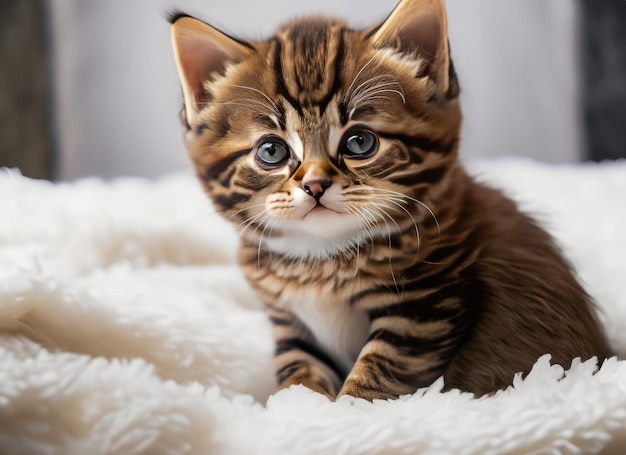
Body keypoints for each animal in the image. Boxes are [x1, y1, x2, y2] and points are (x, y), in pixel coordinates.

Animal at [169, 0, 608, 400]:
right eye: (271, 151)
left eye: (359, 142)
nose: (315, 185)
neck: (321, 259)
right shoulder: (290, 324)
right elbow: (297, 374)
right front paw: (296, 408)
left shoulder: (425, 311)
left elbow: (376, 378)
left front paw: (345, 415)